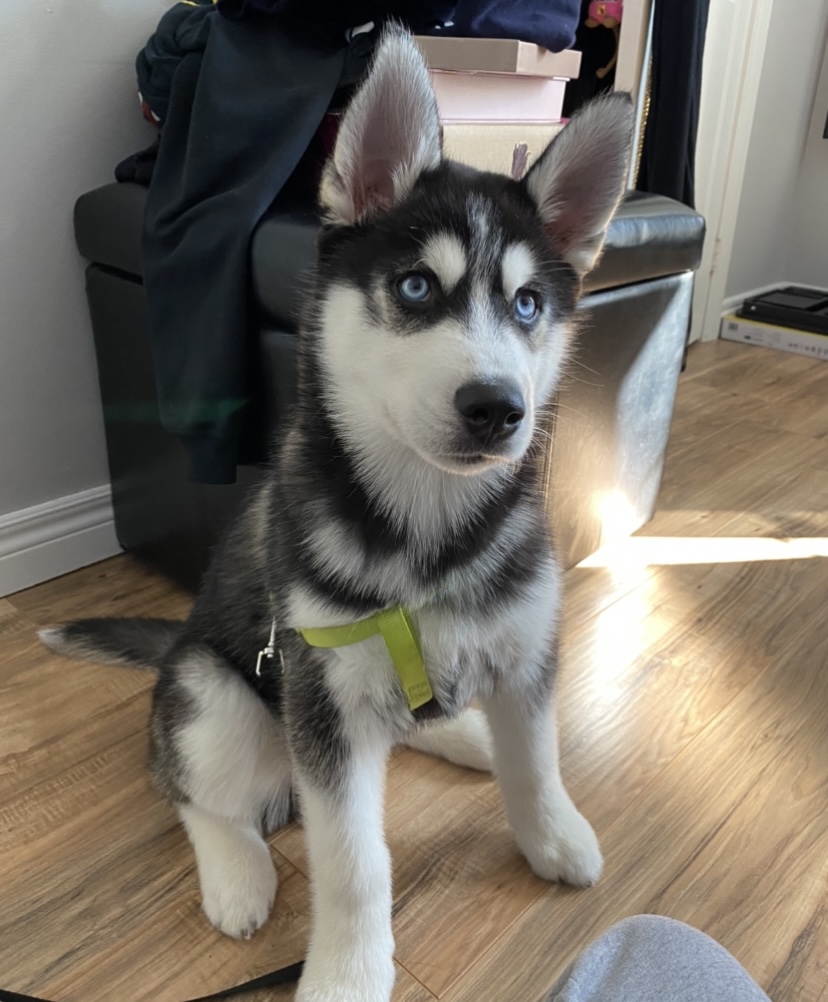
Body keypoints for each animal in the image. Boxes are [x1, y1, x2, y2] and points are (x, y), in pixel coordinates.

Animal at [42, 27, 633, 1002]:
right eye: (417, 289)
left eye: (527, 305)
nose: (498, 409)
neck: (431, 531)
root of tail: (174, 645)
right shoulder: (321, 699)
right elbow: (356, 864)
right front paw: (350, 973)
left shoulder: (524, 648)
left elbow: (538, 761)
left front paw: (553, 835)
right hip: (213, 693)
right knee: (193, 791)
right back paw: (236, 874)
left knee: (416, 727)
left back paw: (465, 736)